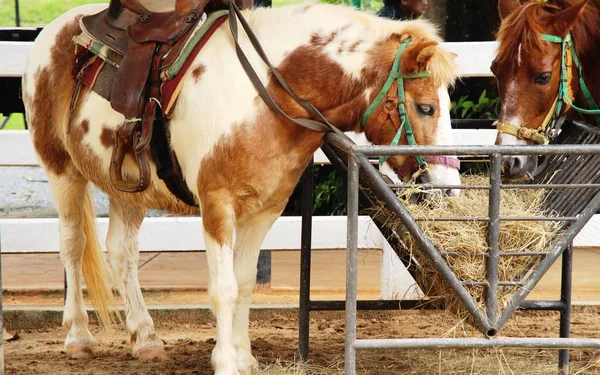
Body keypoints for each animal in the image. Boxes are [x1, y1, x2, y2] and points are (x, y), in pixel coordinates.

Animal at [21, 3, 458, 375]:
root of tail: (55, 31)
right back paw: (78, 336)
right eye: (426, 108)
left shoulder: (265, 210)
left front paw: (244, 357)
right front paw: (226, 362)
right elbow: (224, 287)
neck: (263, 97)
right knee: (72, 245)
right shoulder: (217, 206)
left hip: (127, 189)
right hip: (62, 171)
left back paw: (145, 339)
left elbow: (246, 283)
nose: (449, 189)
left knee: (121, 252)